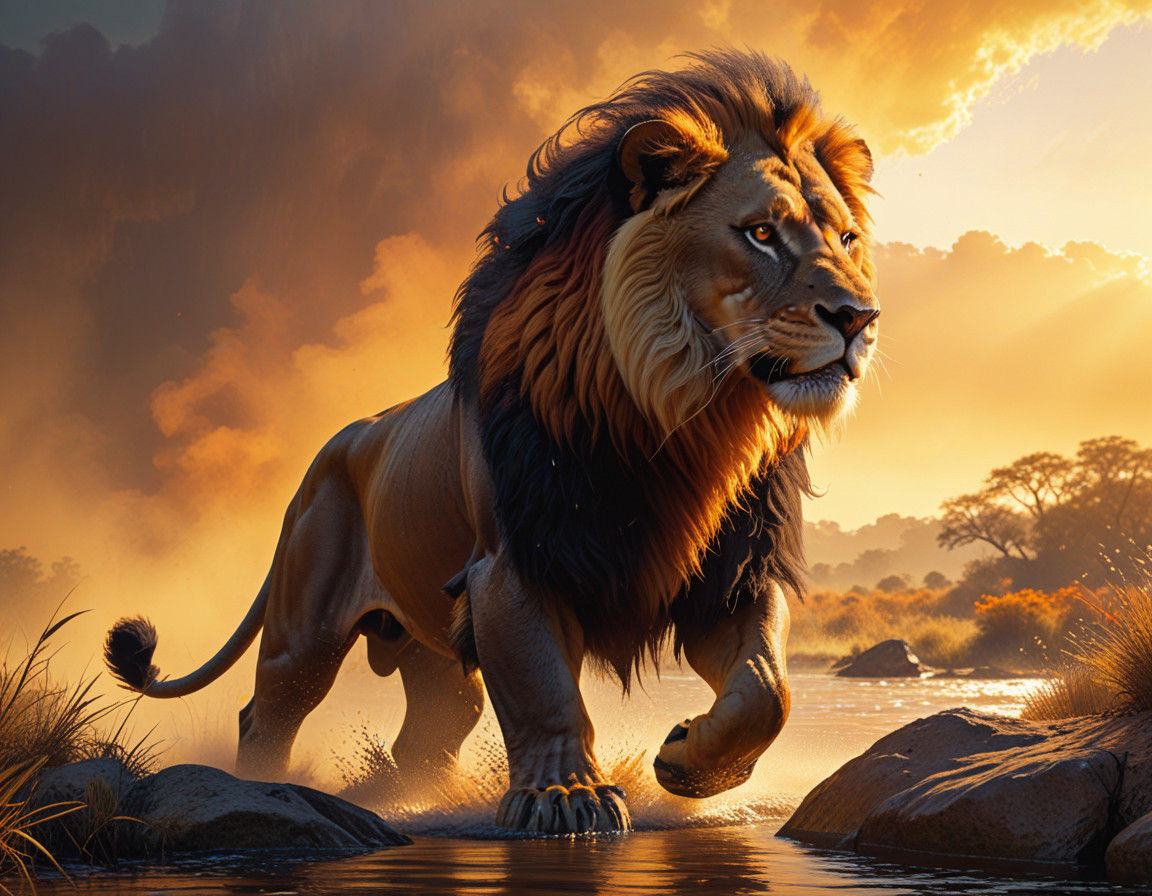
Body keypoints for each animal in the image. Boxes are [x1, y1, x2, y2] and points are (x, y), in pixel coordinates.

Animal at [104, 50, 879, 835]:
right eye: (760, 234)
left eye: (846, 240)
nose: (858, 317)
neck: (681, 418)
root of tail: (334, 448)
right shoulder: (511, 566)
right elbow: (544, 689)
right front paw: (566, 795)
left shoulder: (733, 573)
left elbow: (767, 689)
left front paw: (689, 763)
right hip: (304, 631)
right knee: (266, 713)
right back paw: (266, 791)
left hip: (436, 659)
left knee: (427, 736)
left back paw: (410, 801)